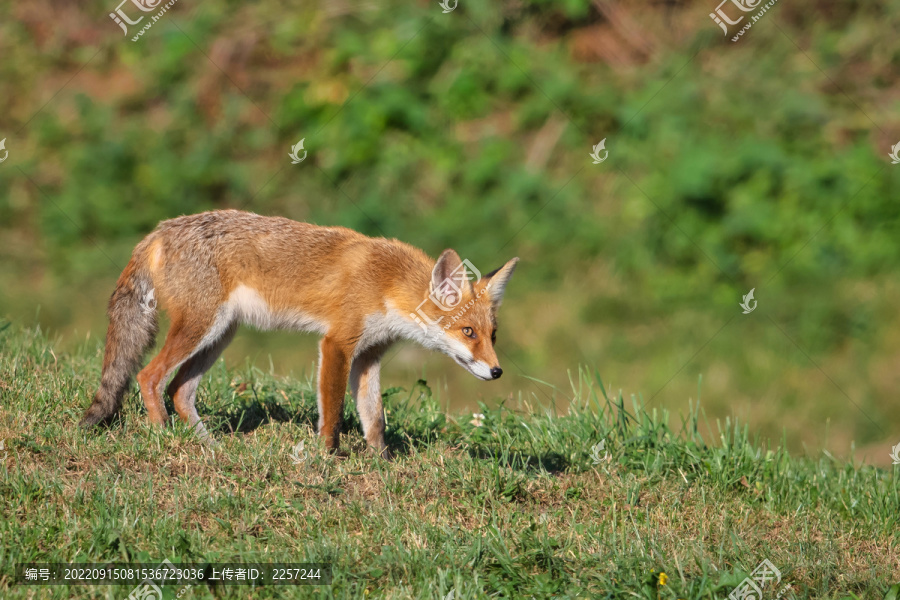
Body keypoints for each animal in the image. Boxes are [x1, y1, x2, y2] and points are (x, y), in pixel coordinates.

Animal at [84, 209, 524, 458]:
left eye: (493, 335)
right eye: (467, 332)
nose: (497, 371)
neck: (386, 283)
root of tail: (157, 231)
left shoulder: (370, 354)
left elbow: (374, 418)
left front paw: (381, 461)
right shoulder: (337, 343)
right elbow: (333, 410)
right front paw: (328, 457)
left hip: (219, 334)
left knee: (179, 390)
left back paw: (208, 447)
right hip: (199, 328)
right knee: (149, 376)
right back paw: (165, 436)